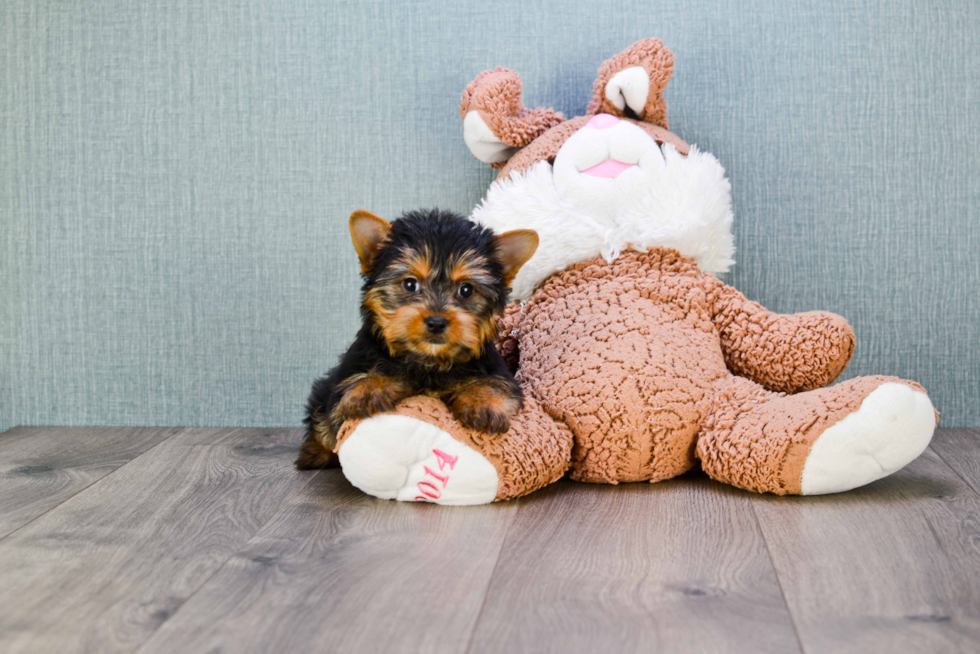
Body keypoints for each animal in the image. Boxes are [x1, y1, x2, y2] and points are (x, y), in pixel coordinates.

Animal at [298, 208, 544, 468]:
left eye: (466, 290)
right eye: (410, 284)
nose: (436, 322)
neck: (429, 360)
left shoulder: (496, 369)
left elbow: (496, 383)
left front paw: (483, 401)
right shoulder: (350, 370)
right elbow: (353, 389)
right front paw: (369, 387)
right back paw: (314, 452)